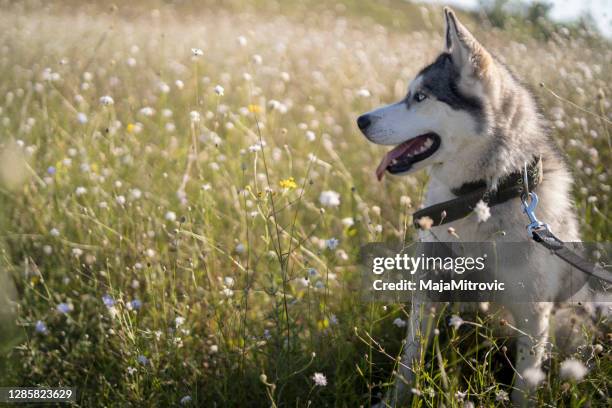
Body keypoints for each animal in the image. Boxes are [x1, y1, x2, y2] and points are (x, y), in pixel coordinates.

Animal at [358, 7, 584, 408]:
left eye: (420, 96)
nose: (361, 121)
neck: (479, 197)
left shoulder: (533, 315)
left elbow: (523, 386)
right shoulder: (429, 289)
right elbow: (409, 361)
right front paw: (394, 400)